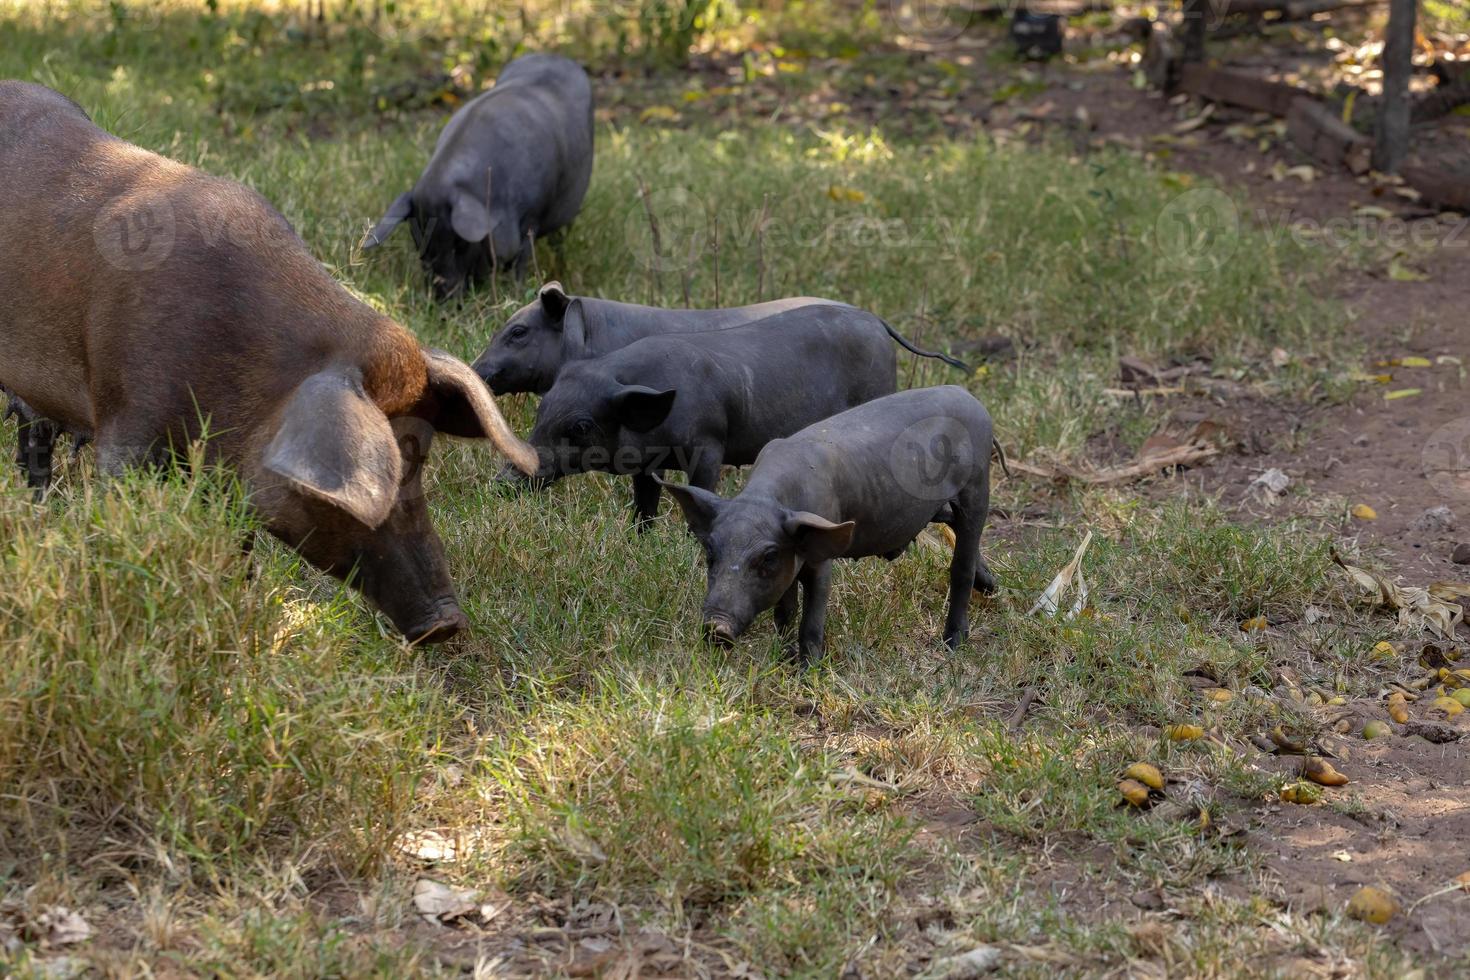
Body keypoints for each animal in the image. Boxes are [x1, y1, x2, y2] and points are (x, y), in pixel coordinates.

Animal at [361, 53, 590, 296]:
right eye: (418, 240)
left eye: (460, 244)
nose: (440, 297)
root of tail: (554, 56)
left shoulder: (531, 218)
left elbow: (521, 263)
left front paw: (517, 293)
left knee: (560, 240)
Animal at [517, 304, 911, 525]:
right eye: (543, 405)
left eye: (582, 425)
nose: (508, 478)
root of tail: (876, 322)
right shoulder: (647, 462)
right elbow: (645, 505)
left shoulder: (709, 446)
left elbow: (701, 489)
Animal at [664, 387, 999, 664]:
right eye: (710, 554)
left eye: (767, 557)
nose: (716, 626)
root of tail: (971, 397)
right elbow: (785, 610)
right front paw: (782, 656)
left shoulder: (820, 556)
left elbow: (812, 617)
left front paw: (807, 670)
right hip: (936, 506)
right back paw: (992, 587)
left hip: (977, 486)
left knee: (962, 561)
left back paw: (953, 643)